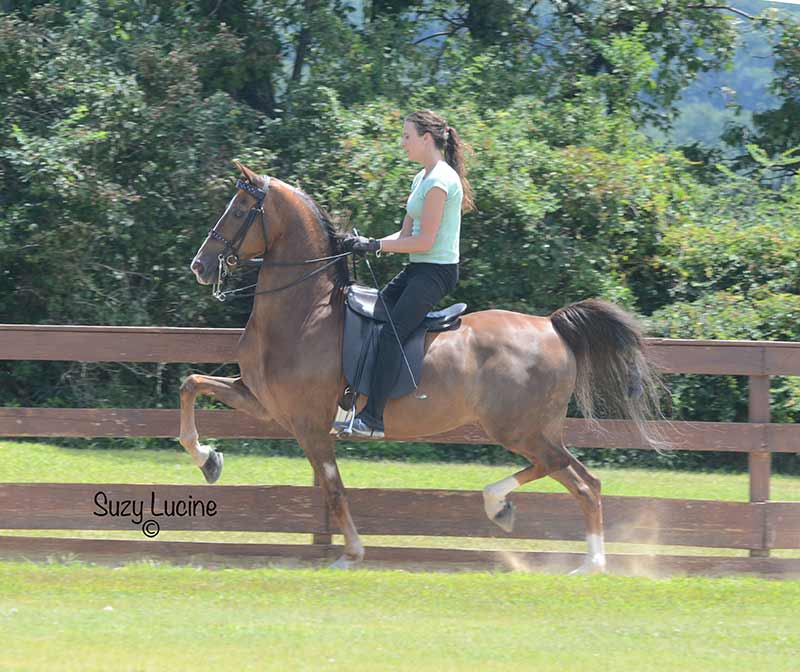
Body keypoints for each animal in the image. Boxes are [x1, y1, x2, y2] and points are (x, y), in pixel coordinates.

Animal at [178, 159, 664, 572]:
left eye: (241, 209)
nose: (199, 266)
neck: (305, 310)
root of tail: (551, 326)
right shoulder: (263, 402)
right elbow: (192, 383)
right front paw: (208, 459)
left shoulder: (309, 424)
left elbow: (333, 488)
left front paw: (351, 554)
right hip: (532, 429)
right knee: (575, 475)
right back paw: (507, 509)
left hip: (518, 429)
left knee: (580, 480)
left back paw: (584, 559)